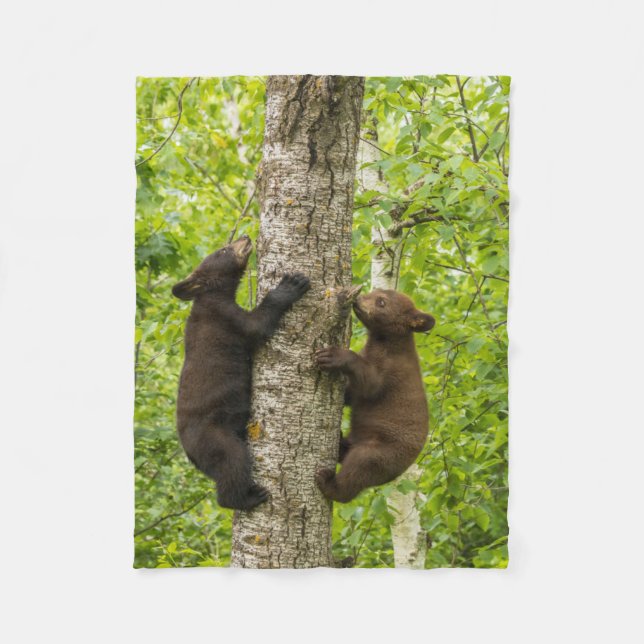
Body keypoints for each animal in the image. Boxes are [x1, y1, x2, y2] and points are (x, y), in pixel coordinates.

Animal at [172, 234, 310, 510]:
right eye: (223, 250)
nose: (245, 237)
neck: (209, 296)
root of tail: (190, 455)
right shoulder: (226, 317)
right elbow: (257, 325)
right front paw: (291, 284)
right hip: (215, 438)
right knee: (233, 462)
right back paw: (248, 497)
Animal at [314, 288, 435, 503]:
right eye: (375, 292)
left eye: (381, 302)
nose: (358, 299)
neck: (385, 342)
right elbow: (353, 393)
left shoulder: (392, 371)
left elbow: (370, 383)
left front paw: (333, 356)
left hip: (382, 452)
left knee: (359, 466)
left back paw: (329, 484)